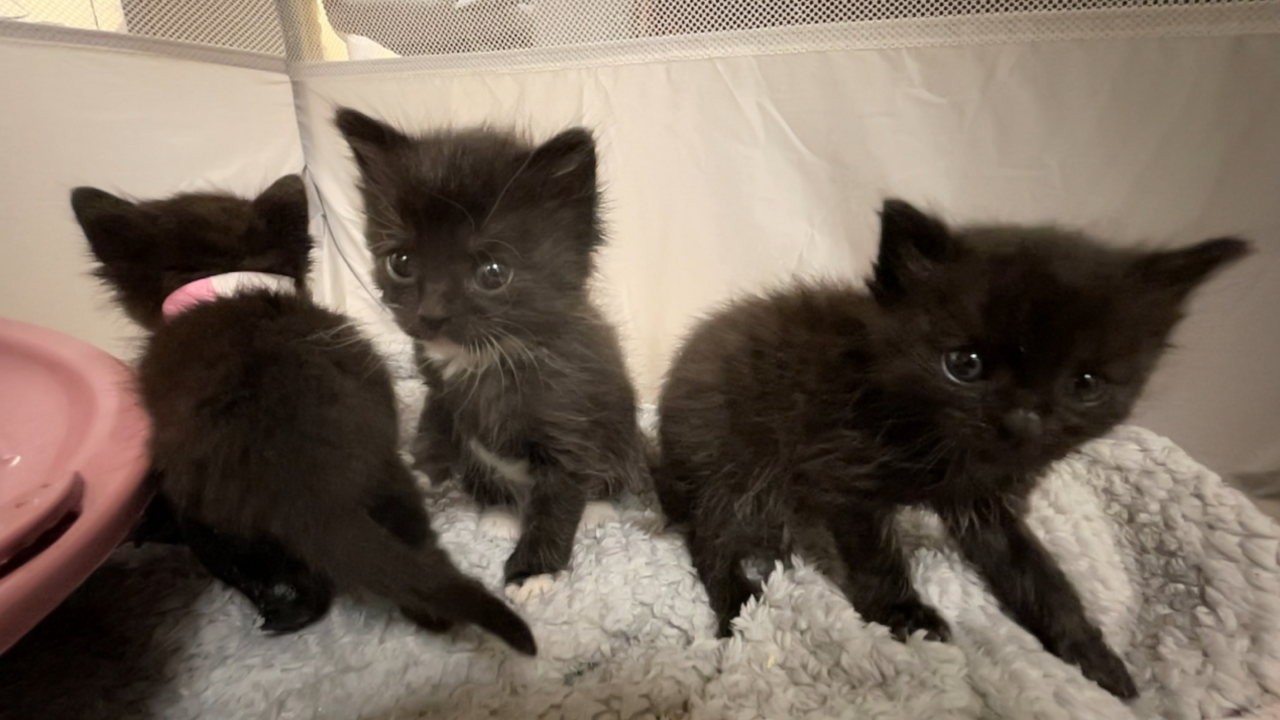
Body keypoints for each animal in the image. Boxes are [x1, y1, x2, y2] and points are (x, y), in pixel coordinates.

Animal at [337, 106, 650, 589]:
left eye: (493, 273)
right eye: (401, 263)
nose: (430, 315)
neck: (485, 357)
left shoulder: (570, 427)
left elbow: (559, 500)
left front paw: (533, 571)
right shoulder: (435, 385)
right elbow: (435, 421)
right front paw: (420, 470)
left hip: (621, 439)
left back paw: (594, 510)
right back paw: (500, 511)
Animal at [660, 196, 1249, 696]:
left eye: (1085, 384)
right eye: (963, 365)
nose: (1024, 418)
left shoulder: (988, 506)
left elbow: (1039, 575)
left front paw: (1089, 654)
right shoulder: (843, 478)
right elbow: (874, 557)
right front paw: (904, 616)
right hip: (731, 466)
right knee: (712, 542)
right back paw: (739, 610)